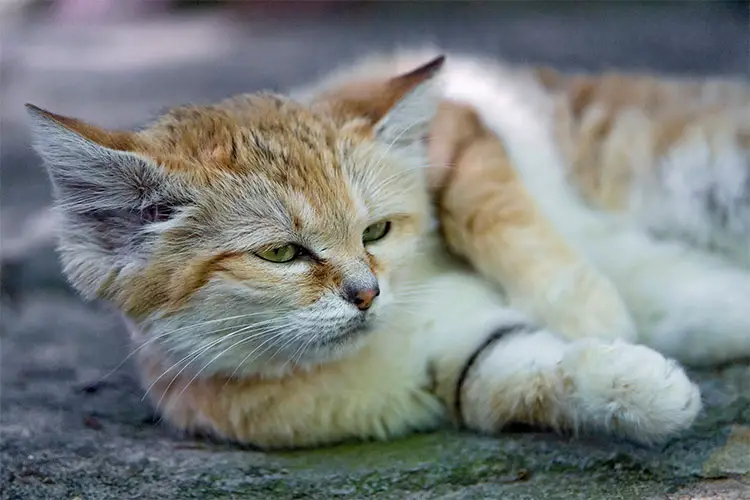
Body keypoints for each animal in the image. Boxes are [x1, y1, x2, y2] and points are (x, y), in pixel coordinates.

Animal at [26, 47, 748, 450]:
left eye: (376, 232)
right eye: (281, 255)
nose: (368, 293)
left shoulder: (463, 129)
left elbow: (499, 218)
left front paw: (594, 314)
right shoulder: (462, 367)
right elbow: (541, 375)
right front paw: (647, 390)